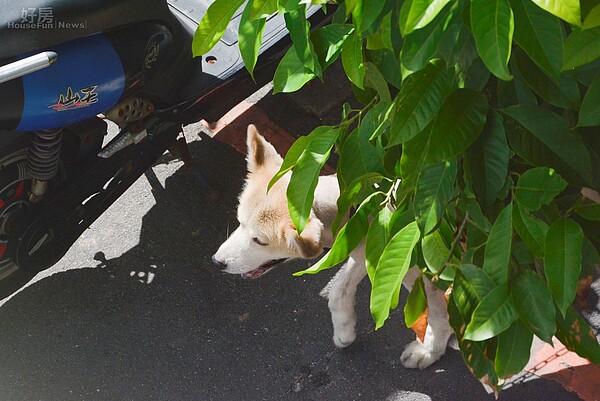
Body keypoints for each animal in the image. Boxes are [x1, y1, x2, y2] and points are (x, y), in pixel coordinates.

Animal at [213, 125, 452, 368]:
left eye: (260, 241)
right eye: (239, 221)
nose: (217, 262)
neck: (353, 211)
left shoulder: (415, 271)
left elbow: (438, 316)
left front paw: (430, 350)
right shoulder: (368, 254)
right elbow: (337, 291)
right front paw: (344, 331)